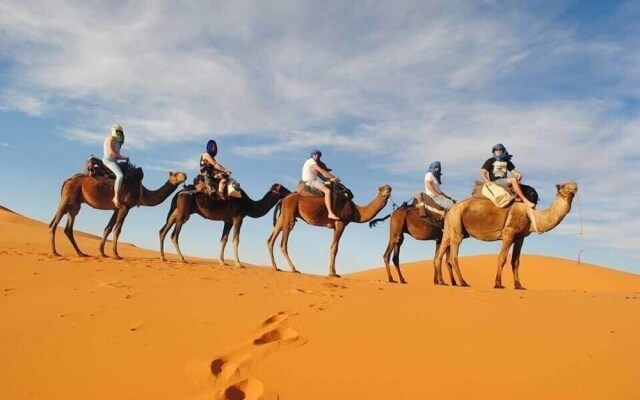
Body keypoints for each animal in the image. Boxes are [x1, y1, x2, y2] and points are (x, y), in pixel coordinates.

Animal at [50, 170, 188, 258]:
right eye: (175, 174)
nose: (185, 175)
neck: (142, 193)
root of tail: (67, 180)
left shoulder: (116, 209)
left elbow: (108, 228)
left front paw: (102, 253)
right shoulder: (125, 207)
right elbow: (117, 229)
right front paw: (116, 255)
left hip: (75, 205)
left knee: (68, 227)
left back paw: (81, 253)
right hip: (68, 197)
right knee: (54, 224)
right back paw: (55, 252)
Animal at [159, 184, 292, 266]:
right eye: (284, 188)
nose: (291, 192)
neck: (249, 204)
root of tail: (180, 192)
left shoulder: (228, 221)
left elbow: (224, 240)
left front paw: (222, 261)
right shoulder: (238, 218)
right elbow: (236, 240)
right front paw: (238, 263)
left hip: (177, 210)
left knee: (163, 230)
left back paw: (163, 256)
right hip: (183, 211)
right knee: (174, 235)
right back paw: (182, 258)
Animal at [432, 183, 576, 290]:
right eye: (564, 185)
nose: (575, 186)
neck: (531, 215)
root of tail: (450, 209)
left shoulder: (520, 237)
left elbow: (516, 261)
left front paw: (519, 286)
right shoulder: (509, 233)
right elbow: (502, 258)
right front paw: (498, 284)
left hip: (449, 228)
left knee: (440, 254)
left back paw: (442, 282)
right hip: (456, 222)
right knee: (453, 256)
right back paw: (463, 283)